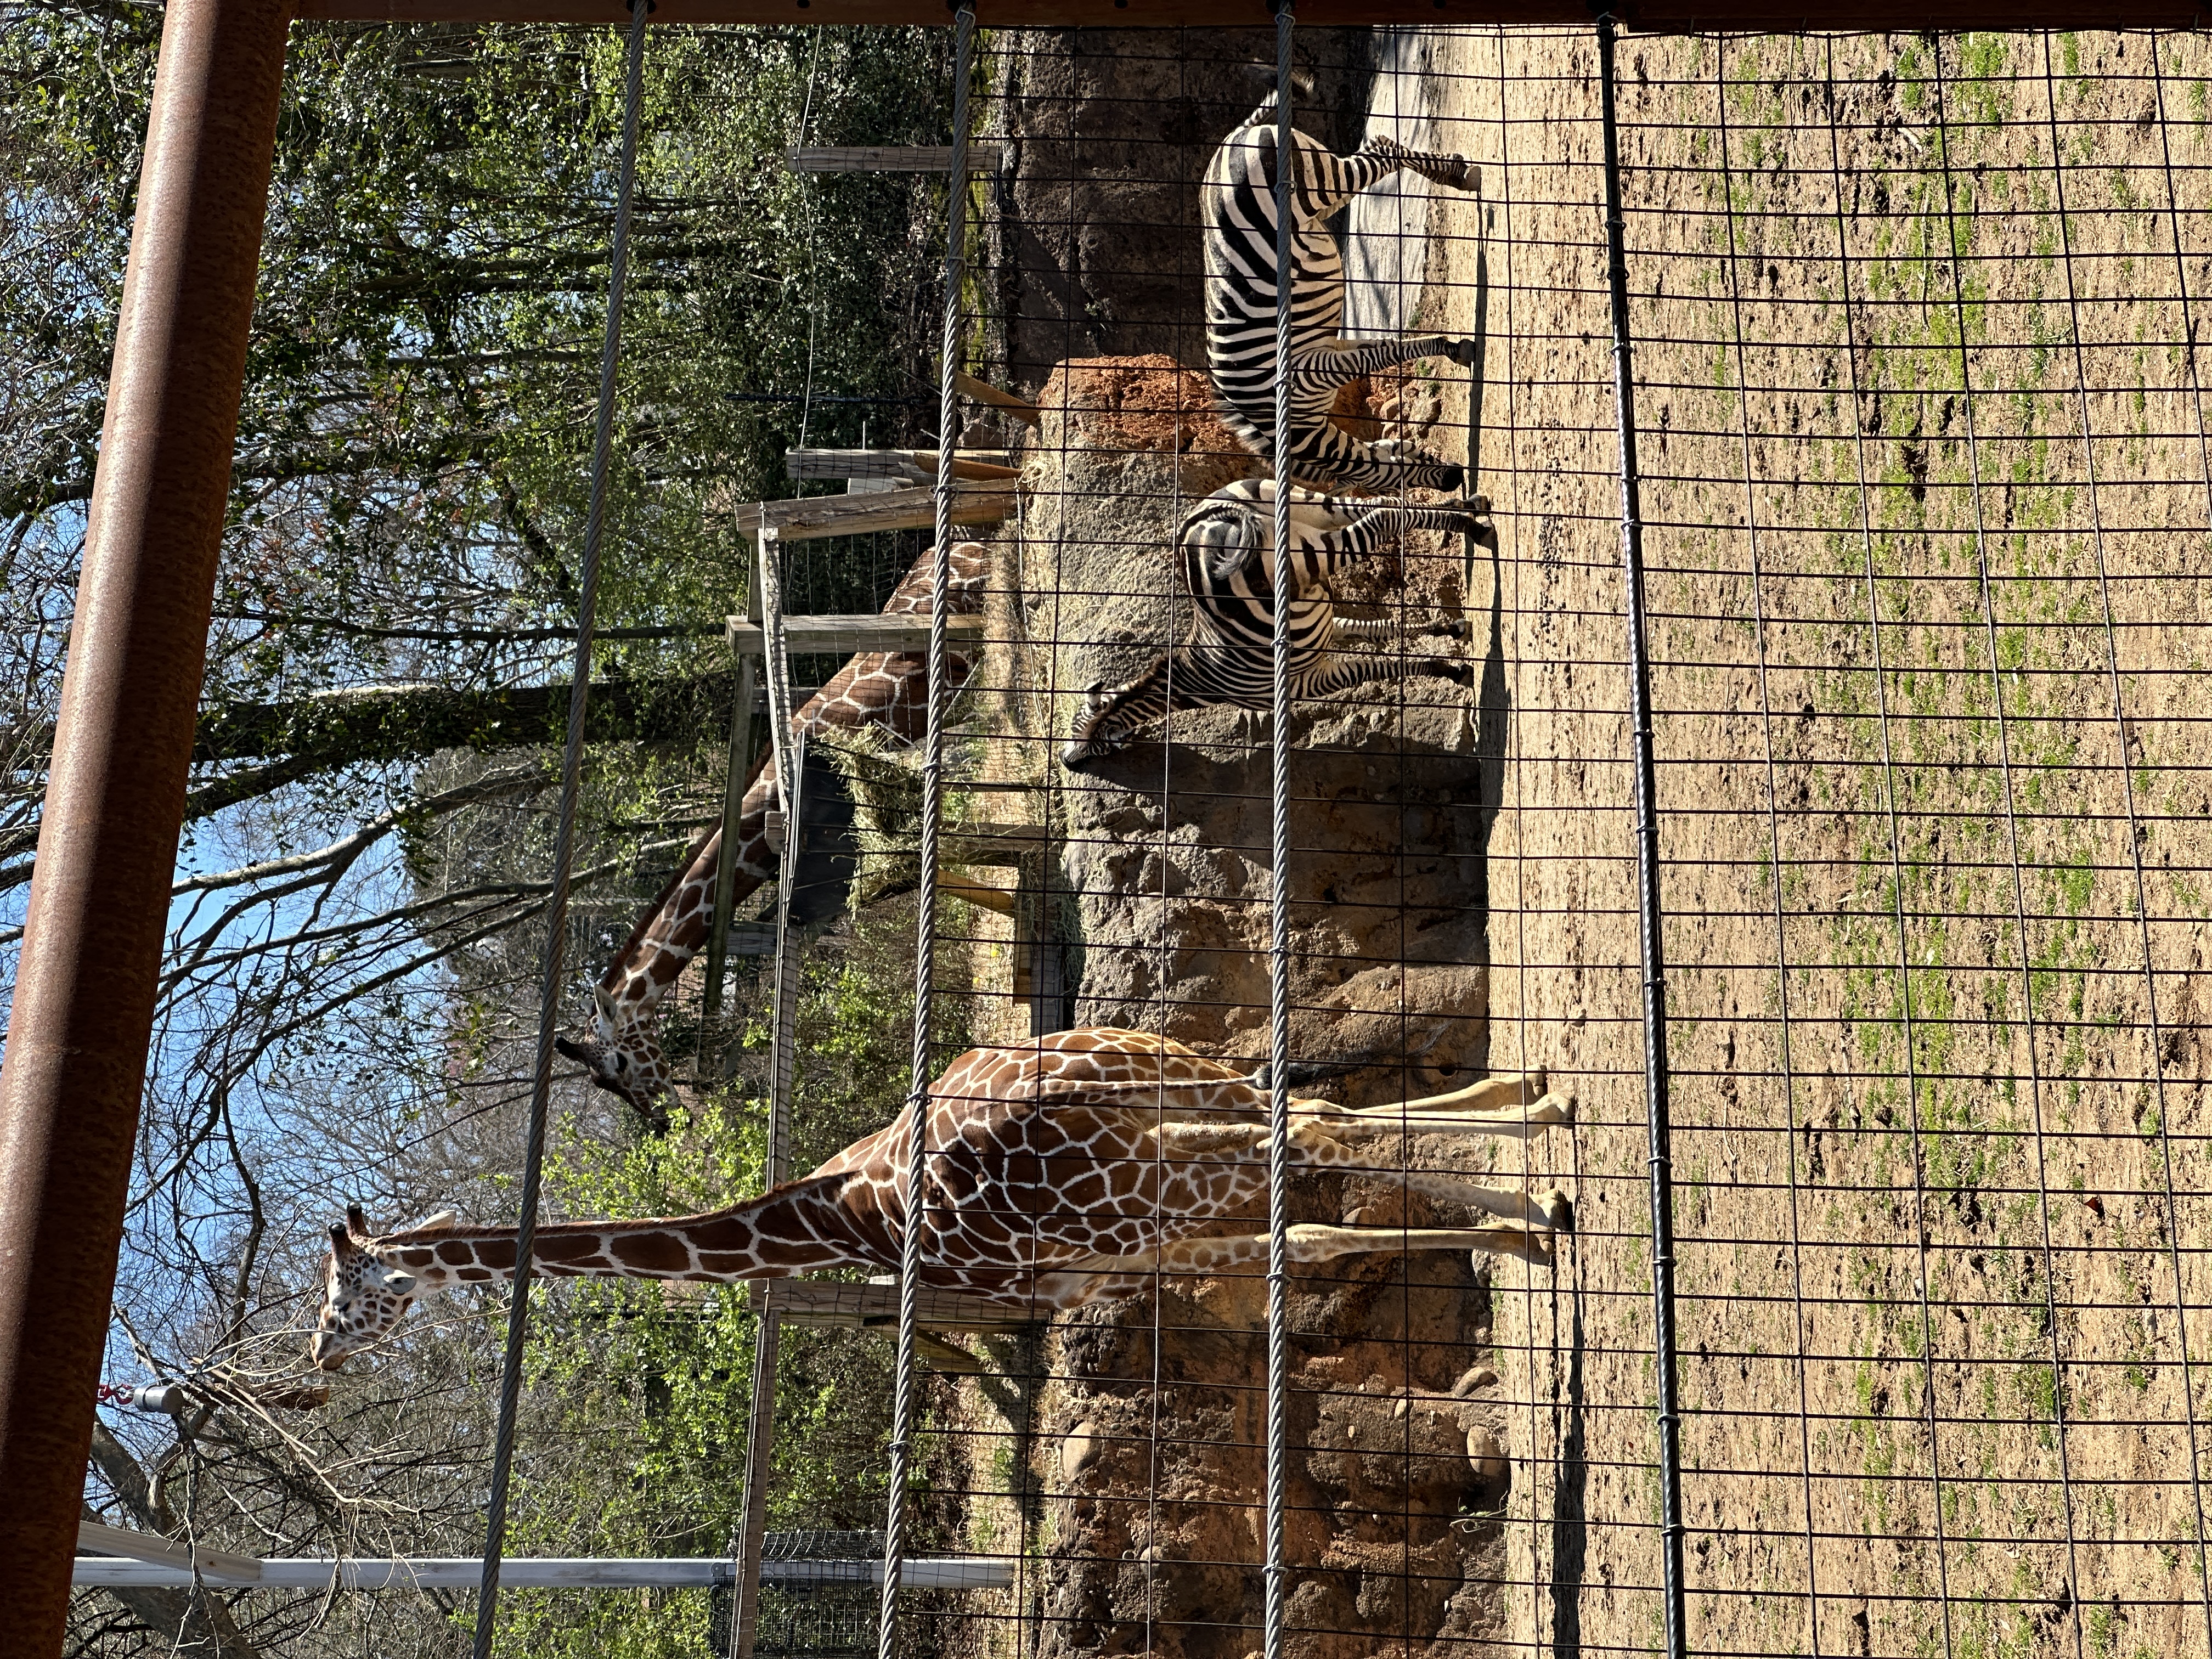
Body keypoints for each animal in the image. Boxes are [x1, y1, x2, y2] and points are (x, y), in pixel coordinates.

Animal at [310, 1027, 1573, 1368]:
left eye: (342, 1298)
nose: (317, 1365)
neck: (832, 1217)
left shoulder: (1112, 1243)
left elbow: (1309, 1217)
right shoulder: (1105, 1264)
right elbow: (1308, 1232)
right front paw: (1520, 1218)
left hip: (1154, 1164)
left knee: (1313, 1126)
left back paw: (1542, 1179)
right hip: (1166, 1084)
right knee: (1315, 1110)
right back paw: (1542, 1133)